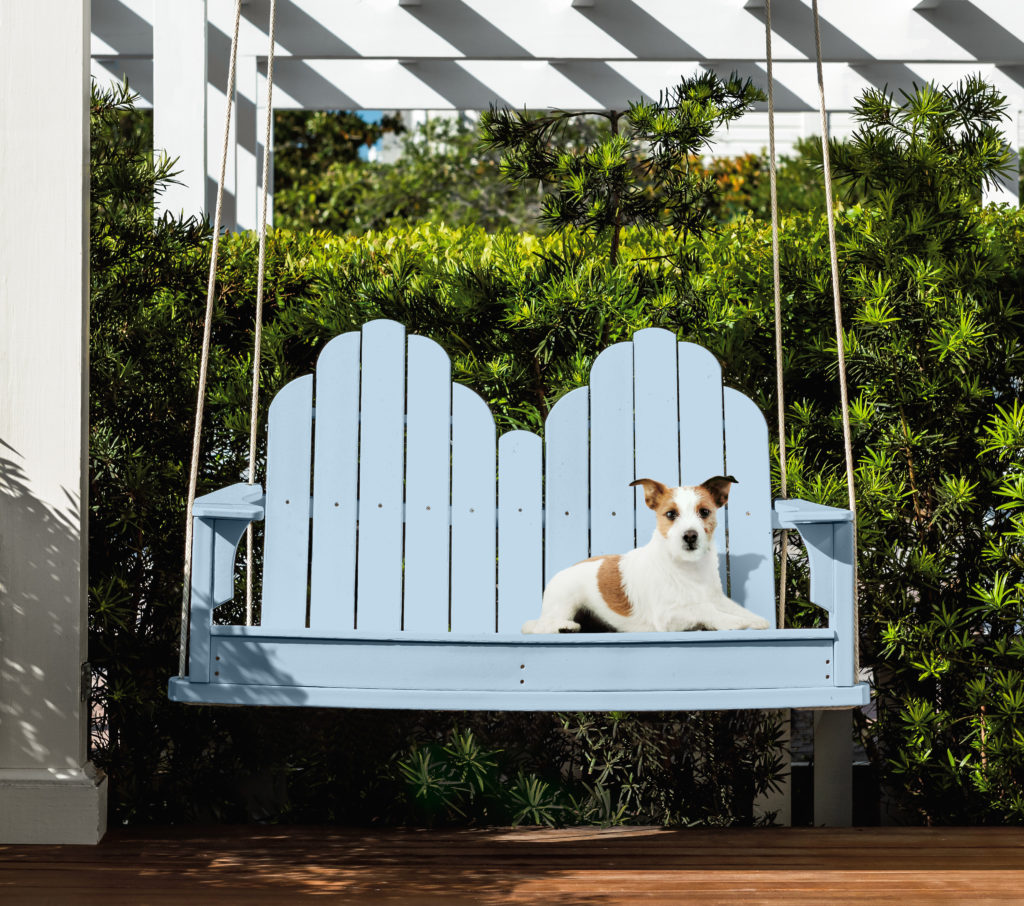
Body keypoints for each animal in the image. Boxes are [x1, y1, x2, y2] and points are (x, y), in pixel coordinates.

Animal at [528, 477, 770, 634]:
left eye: (704, 512)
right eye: (670, 514)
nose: (690, 536)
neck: (687, 568)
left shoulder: (715, 597)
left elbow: (731, 607)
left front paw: (754, 620)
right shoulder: (667, 616)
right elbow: (704, 608)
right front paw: (734, 622)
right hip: (565, 602)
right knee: (536, 625)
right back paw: (565, 627)